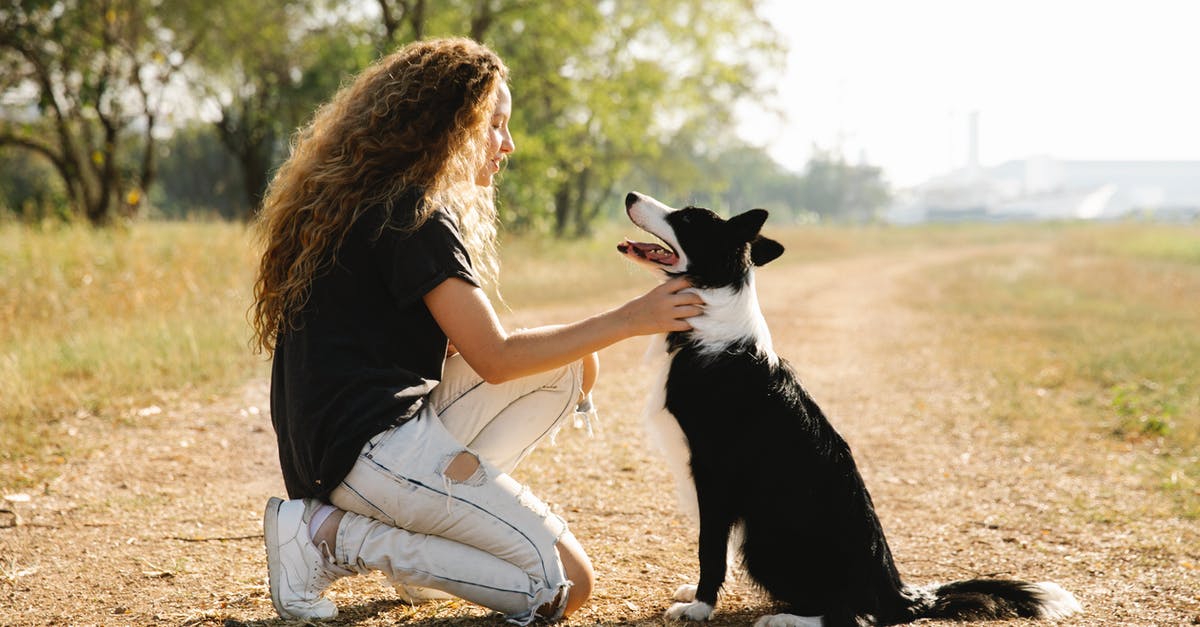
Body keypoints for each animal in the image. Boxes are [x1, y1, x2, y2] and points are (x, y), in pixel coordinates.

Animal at [619, 190, 1080, 624]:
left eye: (686, 217)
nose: (630, 196)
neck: (711, 310)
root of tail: (898, 592)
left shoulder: (713, 472)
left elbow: (710, 548)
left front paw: (699, 607)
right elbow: (716, 548)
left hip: (767, 541)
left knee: (855, 614)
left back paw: (785, 618)